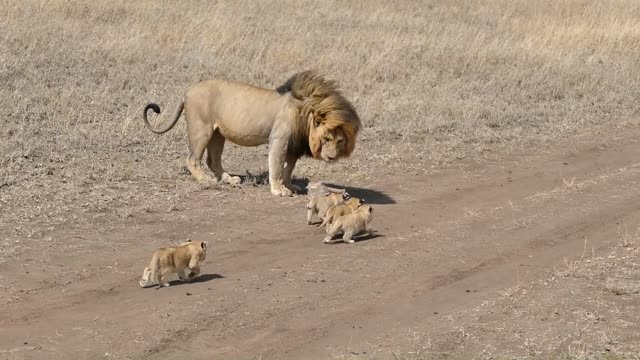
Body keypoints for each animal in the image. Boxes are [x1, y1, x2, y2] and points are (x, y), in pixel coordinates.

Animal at [144, 69, 360, 195]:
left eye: (340, 141)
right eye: (326, 138)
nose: (331, 157)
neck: (305, 112)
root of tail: (187, 91)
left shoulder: (293, 146)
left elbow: (288, 169)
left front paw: (290, 186)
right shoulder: (279, 139)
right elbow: (277, 167)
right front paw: (278, 190)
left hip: (218, 134)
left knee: (213, 160)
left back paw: (229, 180)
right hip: (201, 129)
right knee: (192, 159)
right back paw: (206, 180)